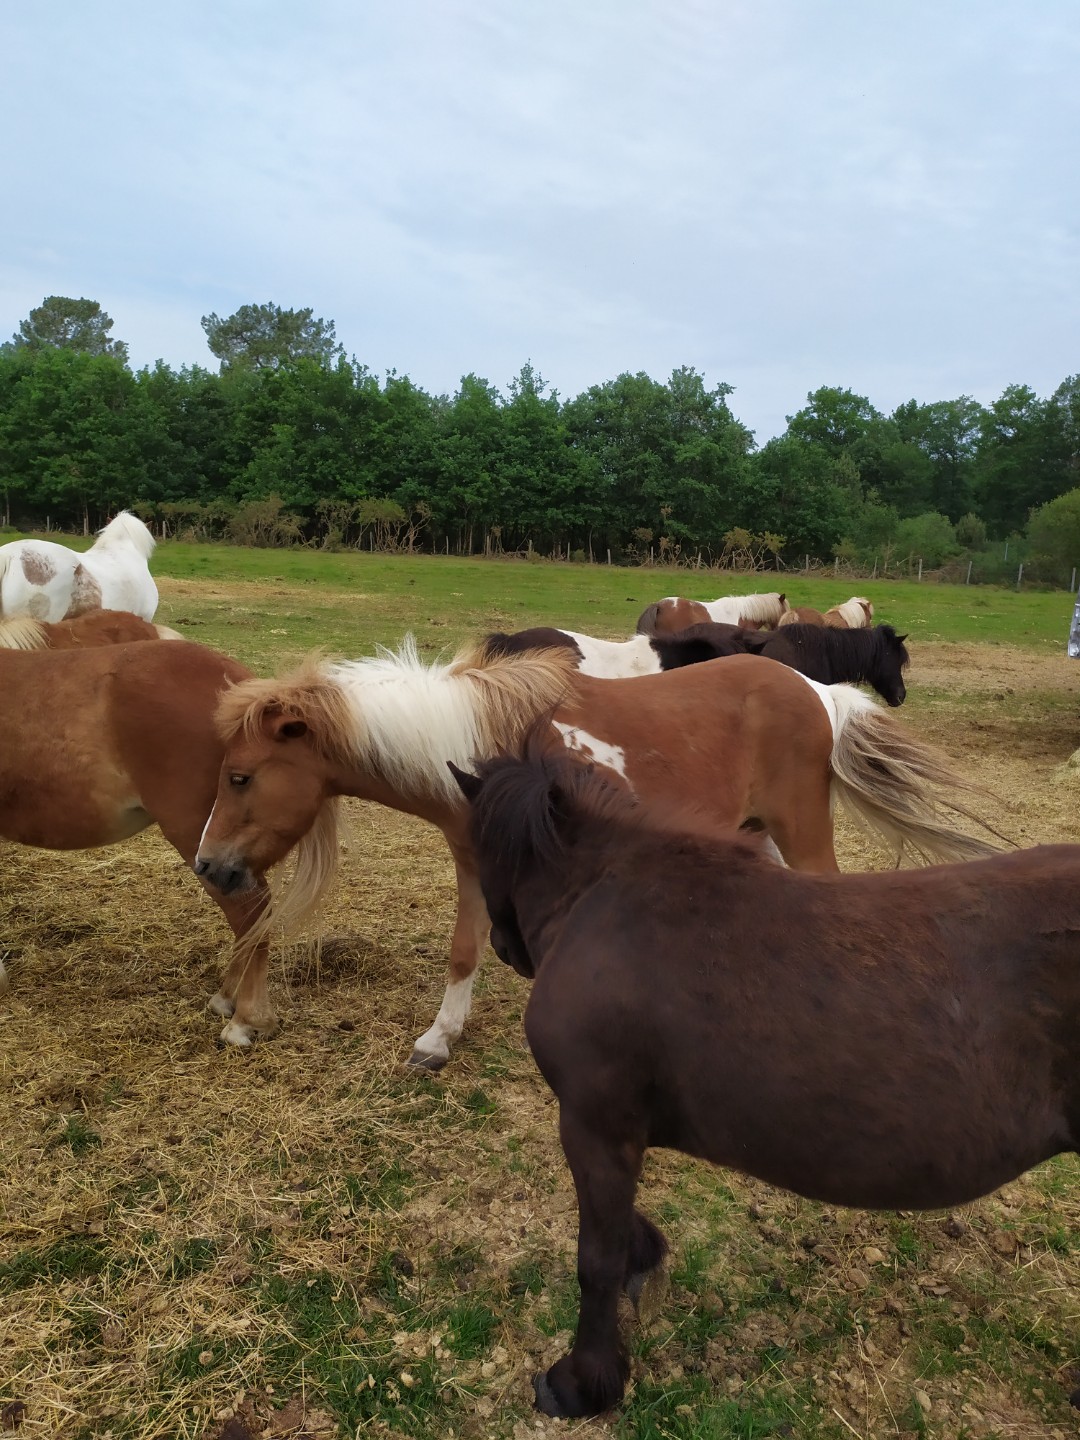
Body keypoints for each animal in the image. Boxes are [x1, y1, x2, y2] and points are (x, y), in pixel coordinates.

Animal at [194, 637, 999, 1067]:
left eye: (240, 777)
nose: (209, 864)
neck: (481, 747)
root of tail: (816, 690)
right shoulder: (474, 862)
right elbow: (464, 949)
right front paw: (439, 1038)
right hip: (756, 829)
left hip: (799, 828)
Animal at [450, 745, 1080, 1418]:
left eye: (478, 856)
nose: (505, 946)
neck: (604, 898)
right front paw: (643, 1258)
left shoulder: (594, 1123)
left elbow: (596, 1257)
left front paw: (582, 1380)